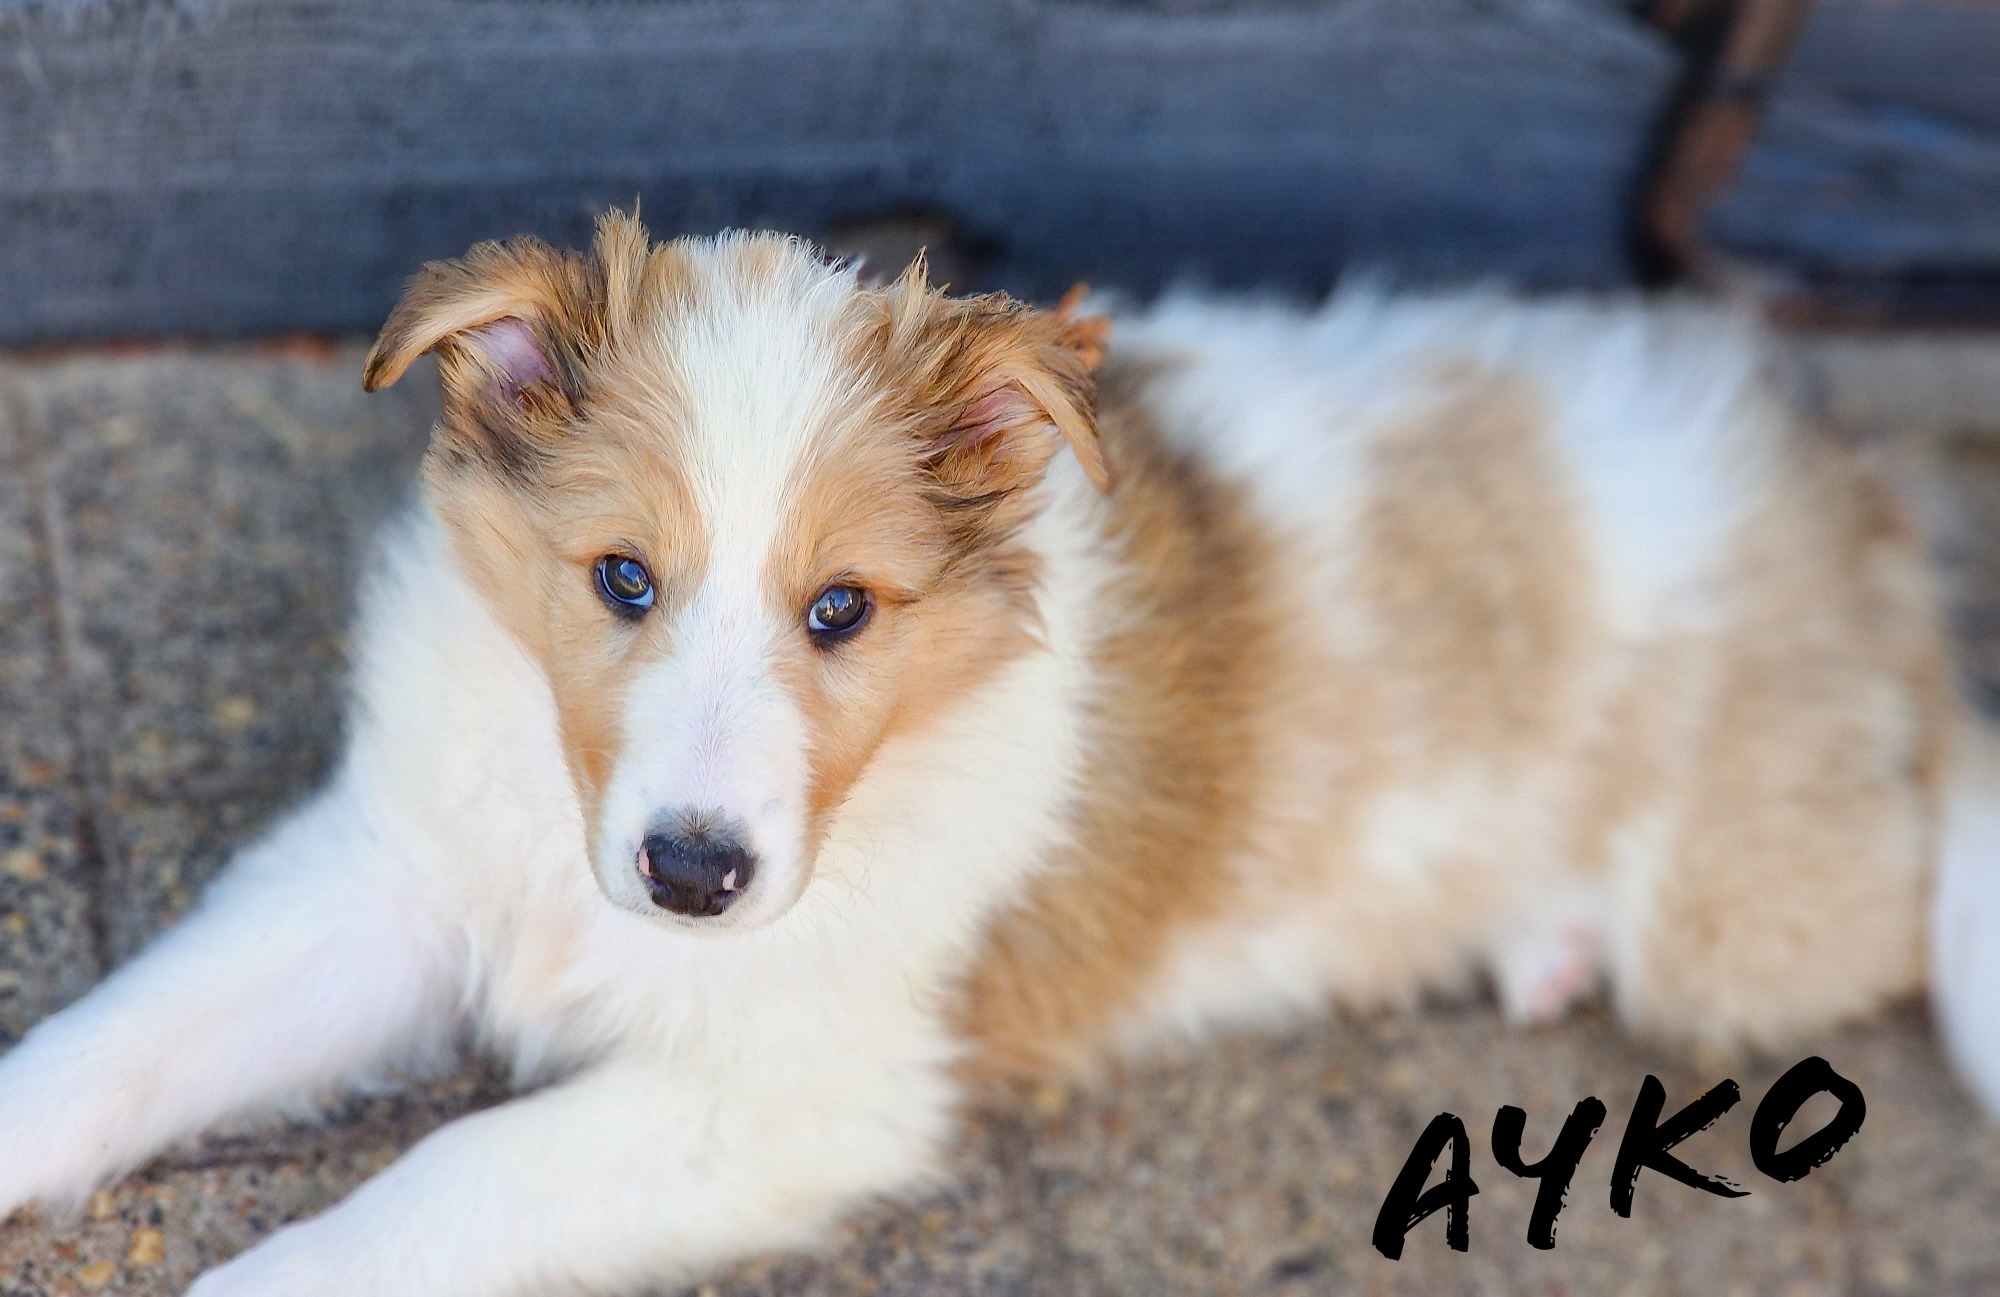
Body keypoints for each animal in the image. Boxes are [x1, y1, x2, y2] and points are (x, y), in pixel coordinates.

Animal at [0, 210, 1994, 1295]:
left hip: (1739, 915)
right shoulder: (395, 876)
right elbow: (131, 1034)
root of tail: (1853, 514)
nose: (693, 876)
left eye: (844, 610)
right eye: (621, 578)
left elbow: (447, 1178)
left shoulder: (814, 1087)